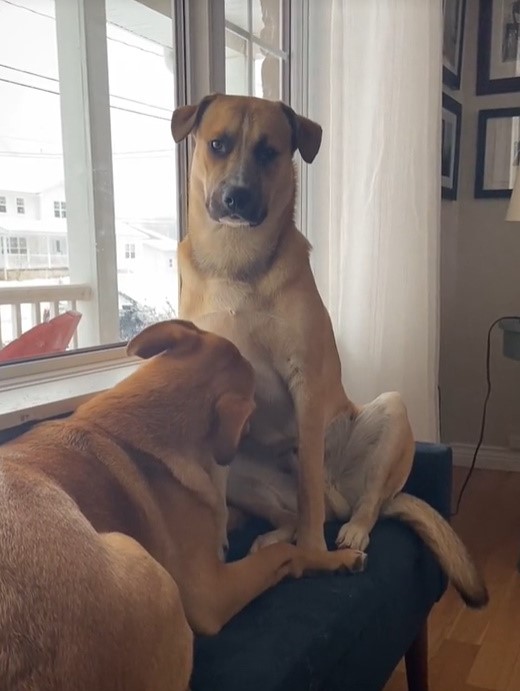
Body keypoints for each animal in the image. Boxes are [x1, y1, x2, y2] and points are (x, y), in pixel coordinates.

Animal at [173, 93, 490, 612]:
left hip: (391, 415)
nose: (237, 197)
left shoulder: (304, 381)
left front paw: (314, 556)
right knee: (291, 511)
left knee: (357, 503)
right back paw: (269, 538)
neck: (236, 258)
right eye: (218, 144)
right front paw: (219, 542)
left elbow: (309, 488)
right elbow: (222, 495)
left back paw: (350, 531)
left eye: (269, 152)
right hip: (243, 470)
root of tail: (340, 491)